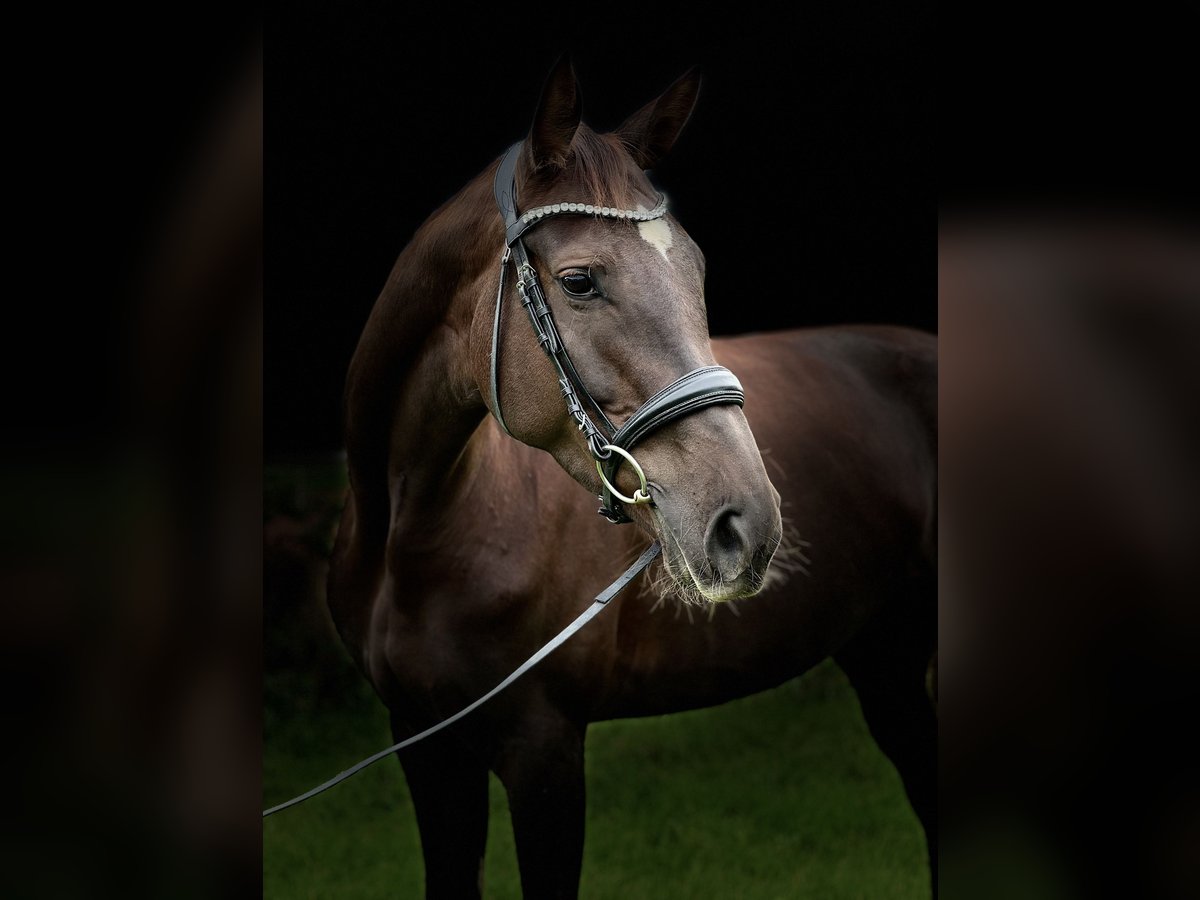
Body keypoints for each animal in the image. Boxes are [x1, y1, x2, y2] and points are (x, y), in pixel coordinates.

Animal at [328, 58, 936, 900]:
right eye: (580, 281)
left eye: (697, 270)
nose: (747, 525)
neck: (416, 531)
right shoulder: (421, 739)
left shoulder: (543, 748)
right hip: (885, 653)